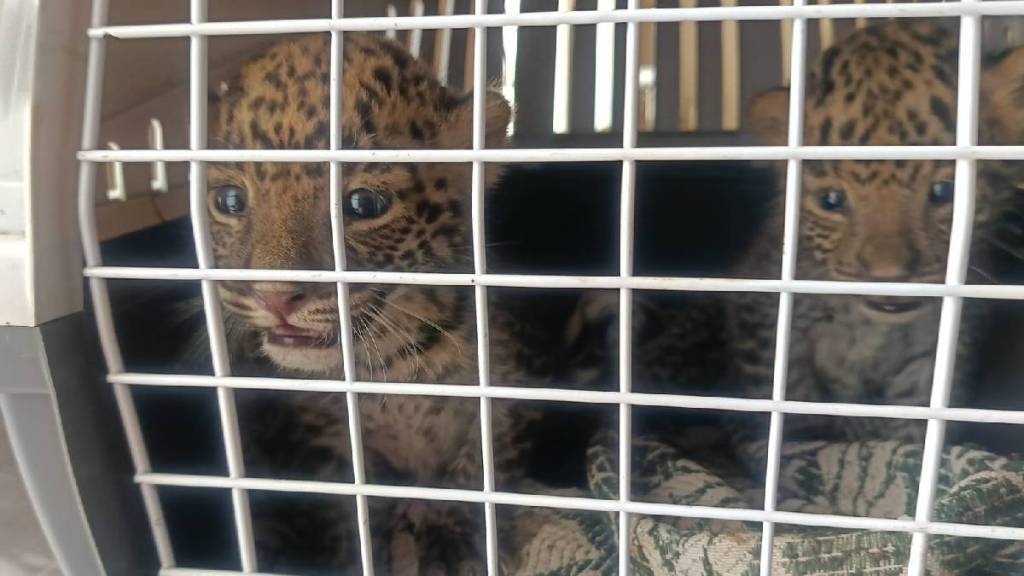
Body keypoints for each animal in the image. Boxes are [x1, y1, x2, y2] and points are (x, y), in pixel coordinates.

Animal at [205, 32, 564, 575]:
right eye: (229, 201)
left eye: (364, 205)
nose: (274, 295)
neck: (390, 366)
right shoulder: (330, 434)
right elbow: (351, 496)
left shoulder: (510, 391)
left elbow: (480, 465)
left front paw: (454, 538)